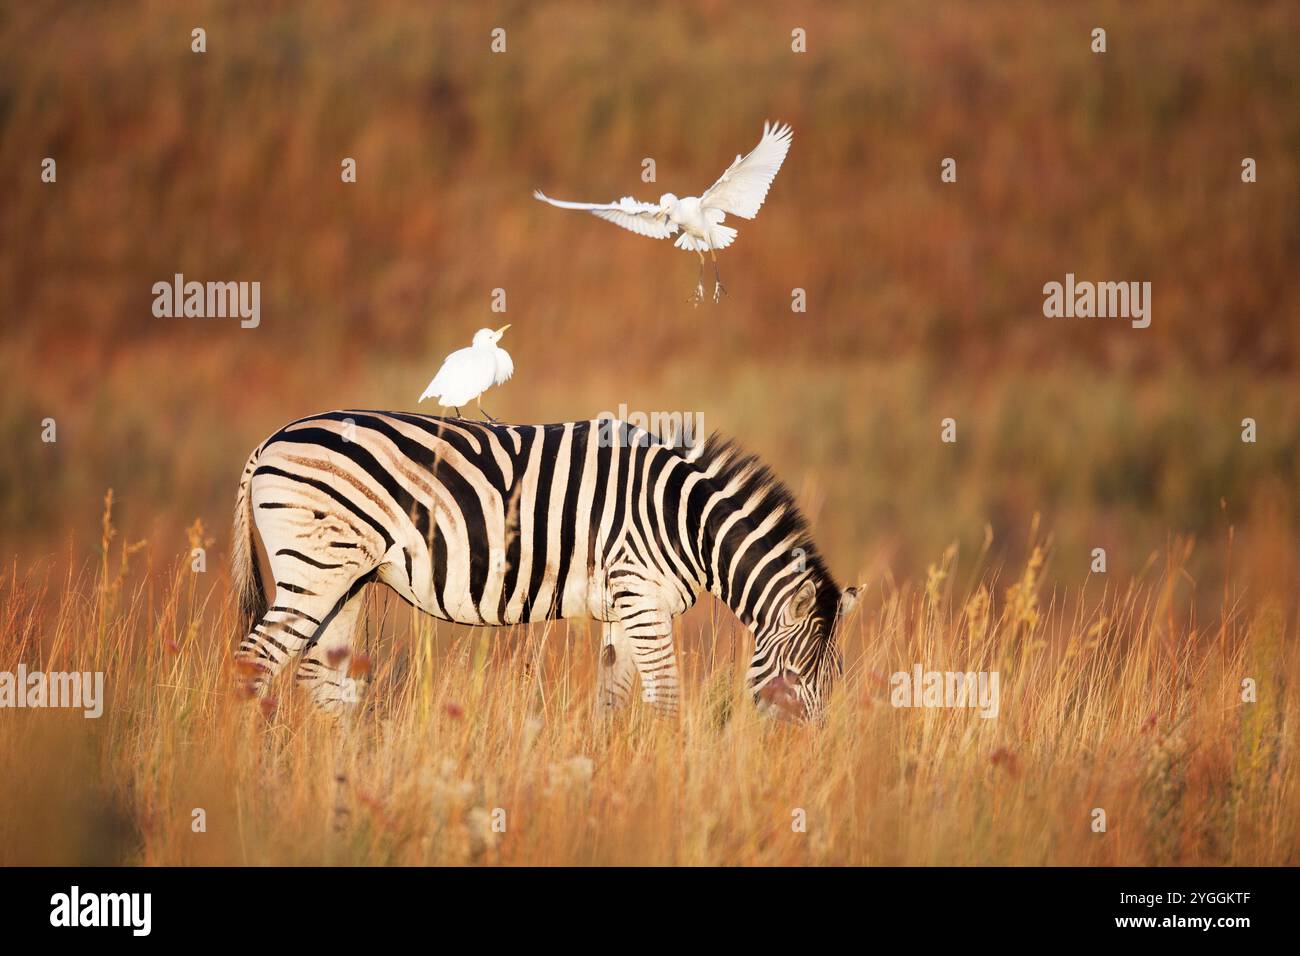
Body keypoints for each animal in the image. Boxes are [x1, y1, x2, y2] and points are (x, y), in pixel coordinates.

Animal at [232, 411, 861, 719]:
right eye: (795, 675)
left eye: (833, 679)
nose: (804, 751)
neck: (684, 520)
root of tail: (269, 440)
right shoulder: (641, 595)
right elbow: (664, 698)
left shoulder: (624, 606)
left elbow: (614, 699)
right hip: (313, 569)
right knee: (254, 663)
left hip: (347, 577)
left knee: (320, 679)